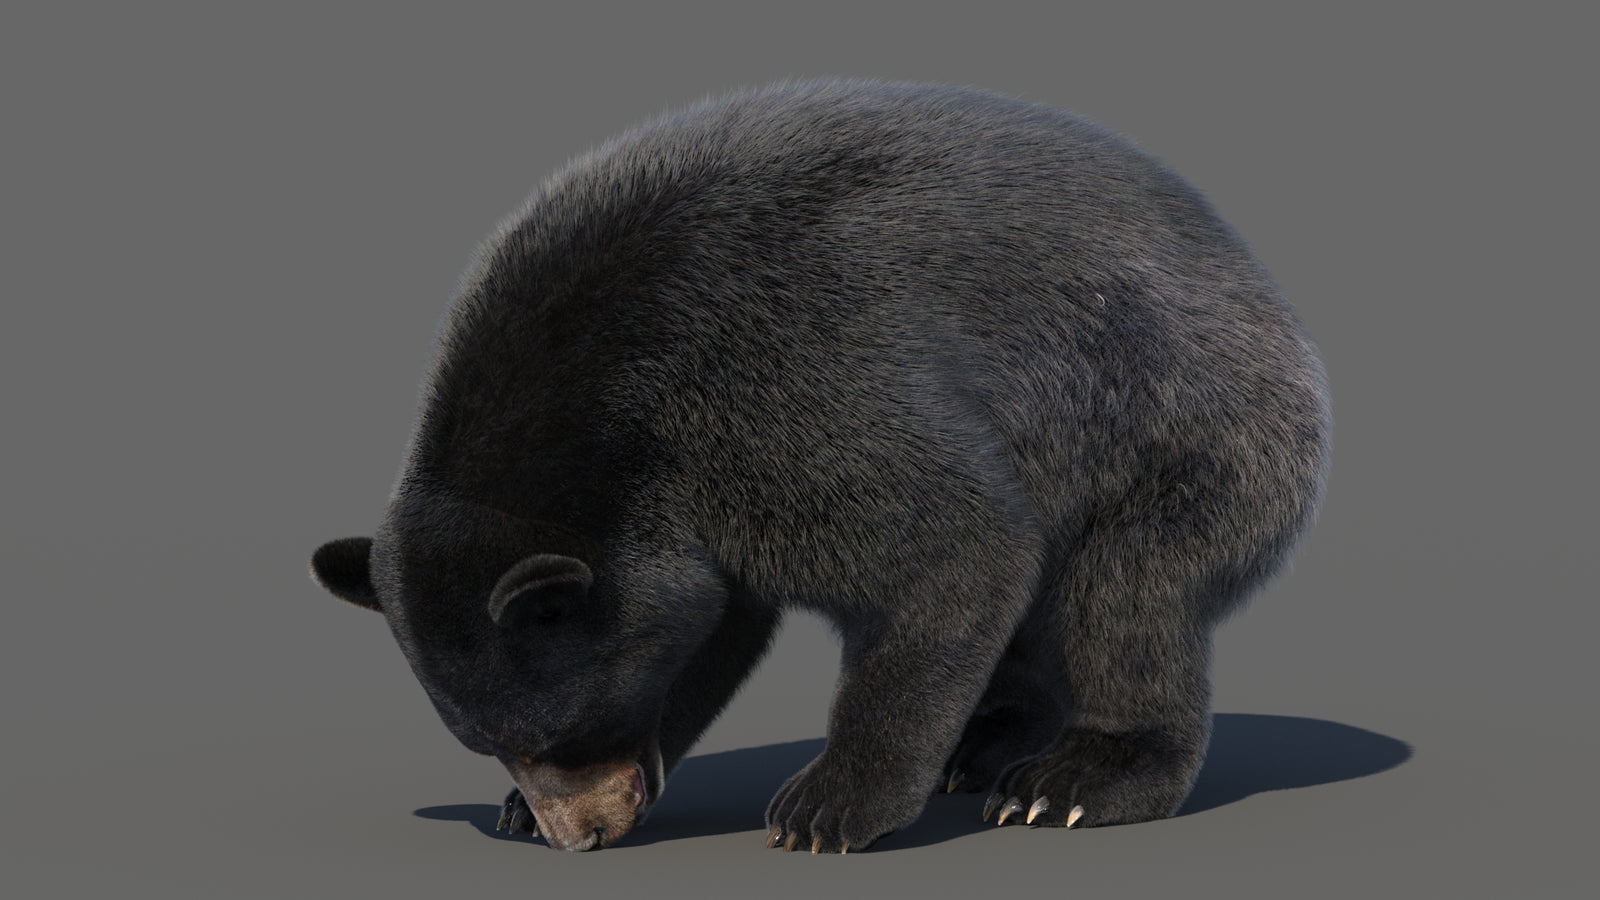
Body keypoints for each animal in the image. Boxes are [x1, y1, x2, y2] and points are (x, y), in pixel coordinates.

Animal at [310, 78, 1331, 854]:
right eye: (487, 741)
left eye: (565, 728)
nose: (582, 834)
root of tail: (1265, 288)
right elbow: (711, 626)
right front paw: (520, 809)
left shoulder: (781, 388)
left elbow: (955, 546)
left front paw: (827, 806)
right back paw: (984, 743)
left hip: (1181, 429)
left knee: (1126, 598)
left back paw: (1070, 779)